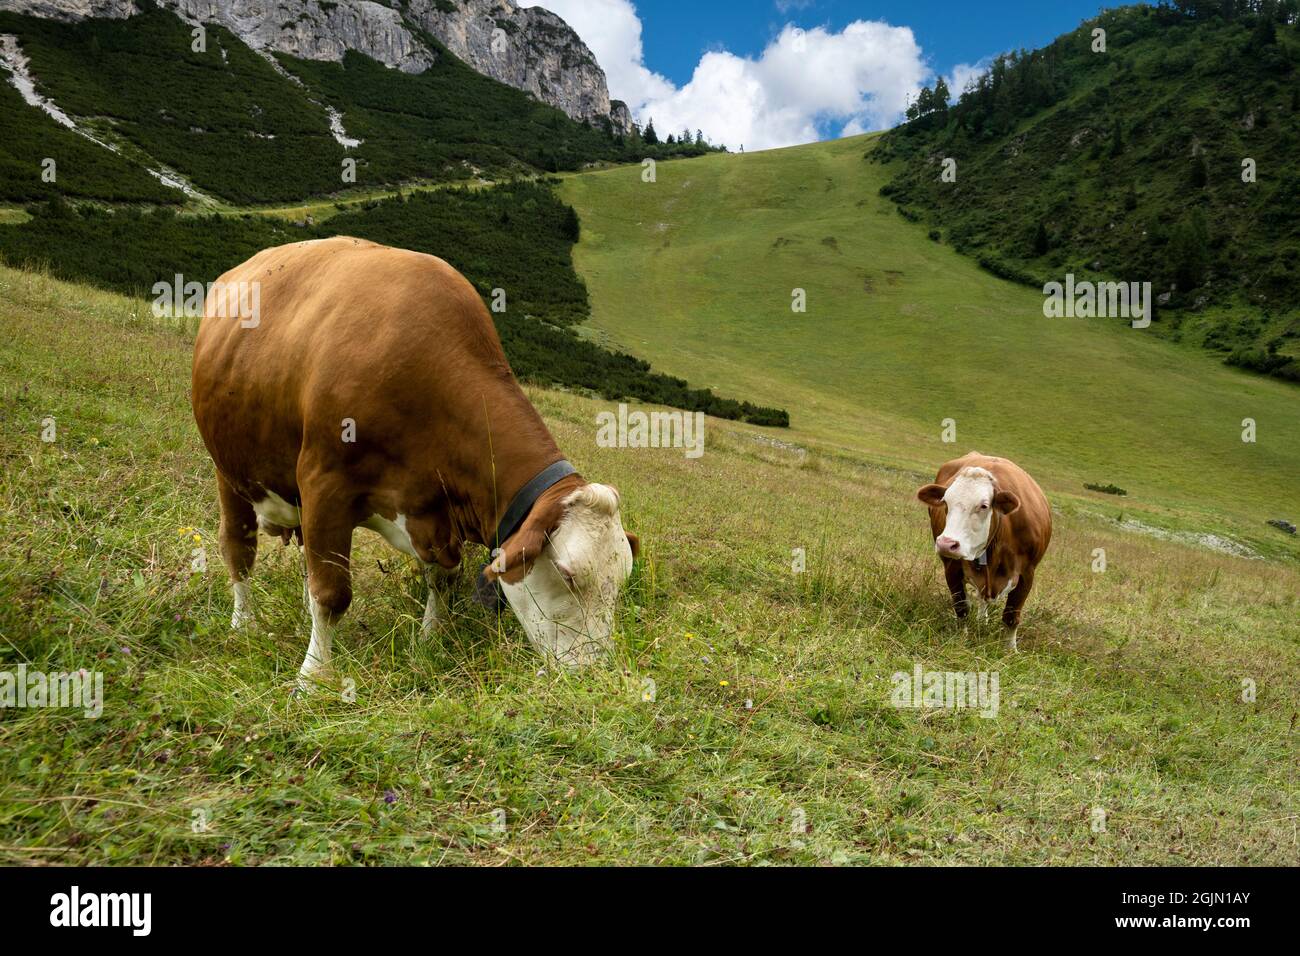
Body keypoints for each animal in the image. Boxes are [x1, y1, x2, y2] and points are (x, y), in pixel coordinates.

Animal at [192, 237, 639, 689]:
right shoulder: (324, 484)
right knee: (239, 549)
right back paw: (243, 624)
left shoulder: (435, 512)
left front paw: (430, 638)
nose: (593, 674)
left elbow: (441, 577)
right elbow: (332, 593)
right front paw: (313, 677)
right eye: (567, 574)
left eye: (621, 580)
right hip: (229, 472)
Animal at [915, 453, 1051, 651]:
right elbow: (961, 607)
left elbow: (1011, 616)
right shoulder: (952, 567)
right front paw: (961, 638)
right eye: (945, 502)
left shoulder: (1027, 573)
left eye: (984, 505)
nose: (946, 544)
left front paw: (1010, 650)